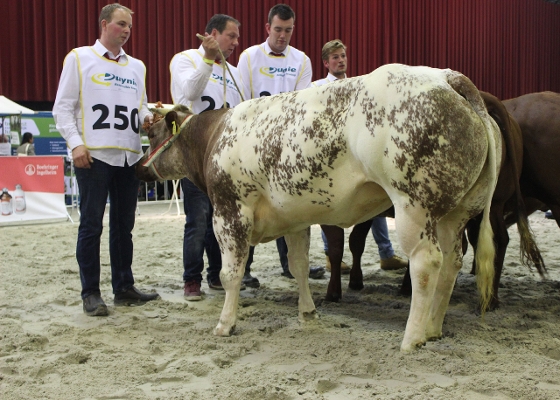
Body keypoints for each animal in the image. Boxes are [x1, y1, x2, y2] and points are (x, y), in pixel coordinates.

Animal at [138, 64, 500, 352]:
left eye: (152, 133)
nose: (140, 169)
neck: (216, 136)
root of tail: (445, 77)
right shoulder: (294, 219)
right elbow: (298, 266)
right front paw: (308, 313)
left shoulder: (229, 212)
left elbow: (231, 275)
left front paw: (225, 324)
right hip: (455, 211)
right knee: (452, 263)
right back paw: (434, 328)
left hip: (414, 204)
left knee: (426, 264)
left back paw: (413, 339)